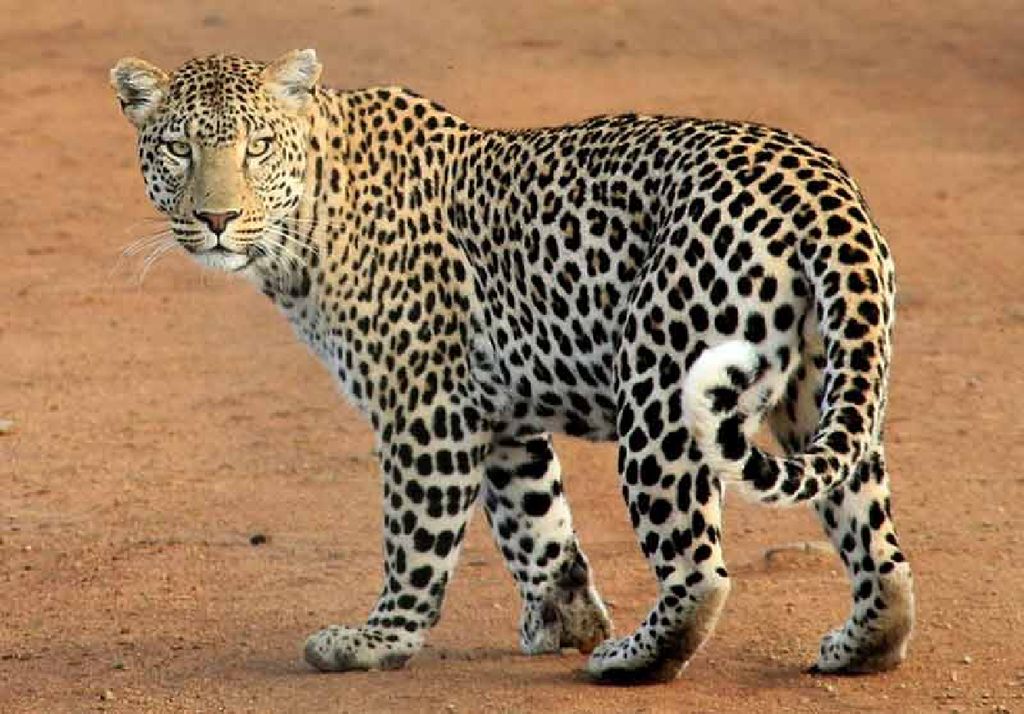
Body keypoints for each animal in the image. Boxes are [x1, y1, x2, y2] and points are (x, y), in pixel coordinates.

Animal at [110, 49, 915, 684]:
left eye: (255, 148)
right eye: (178, 148)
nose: (215, 219)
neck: (308, 219)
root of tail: (821, 189)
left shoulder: (426, 409)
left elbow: (417, 538)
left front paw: (379, 639)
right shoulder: (497, 414)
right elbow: (537, 523)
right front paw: (565, 620)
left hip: (661, 393)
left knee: (699, 571)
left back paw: (631, 659)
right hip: (823, 389)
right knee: (875, 540)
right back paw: (859, 646)